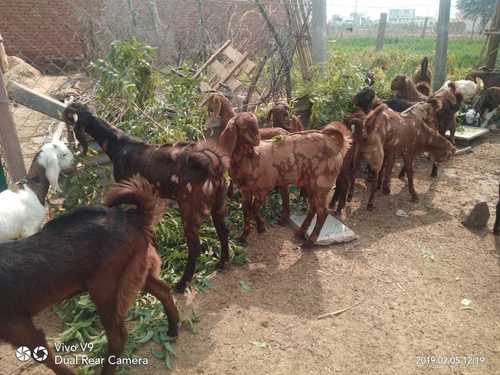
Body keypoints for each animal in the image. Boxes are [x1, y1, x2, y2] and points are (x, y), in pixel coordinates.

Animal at [0, 177, 179, 375]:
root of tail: (131, 218)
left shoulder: (20, 328)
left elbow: (49, 359)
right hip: (134, 274)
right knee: (163, 290)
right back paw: (173, 329)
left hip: (104, 289)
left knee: (118, 337)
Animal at [219, 111, 352, 247]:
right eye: (244, 127)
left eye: (256, 125)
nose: (257, 138)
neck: (250, 158)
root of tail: (335, 144)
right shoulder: (245, 190)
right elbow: (246, 212)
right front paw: (244, 236)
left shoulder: (264, 188)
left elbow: (253, 209)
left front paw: (260, 227)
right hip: (310, 183)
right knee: (313, 207)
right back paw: (300, 232)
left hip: (322, 183)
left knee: (323, 212)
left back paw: (309, 242)